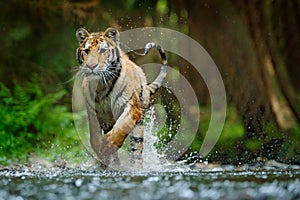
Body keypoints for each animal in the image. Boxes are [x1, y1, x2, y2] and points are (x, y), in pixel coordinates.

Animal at [74, 27, 169, 167]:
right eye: (86, 51)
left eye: (103, 50)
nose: (91, 66)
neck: (101, 85)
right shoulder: (92, 112)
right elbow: (94, 138)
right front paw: (102, 153)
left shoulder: (132, 108)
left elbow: (121, 128)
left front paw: (106, 147)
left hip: (138, 126)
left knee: (137, 151)